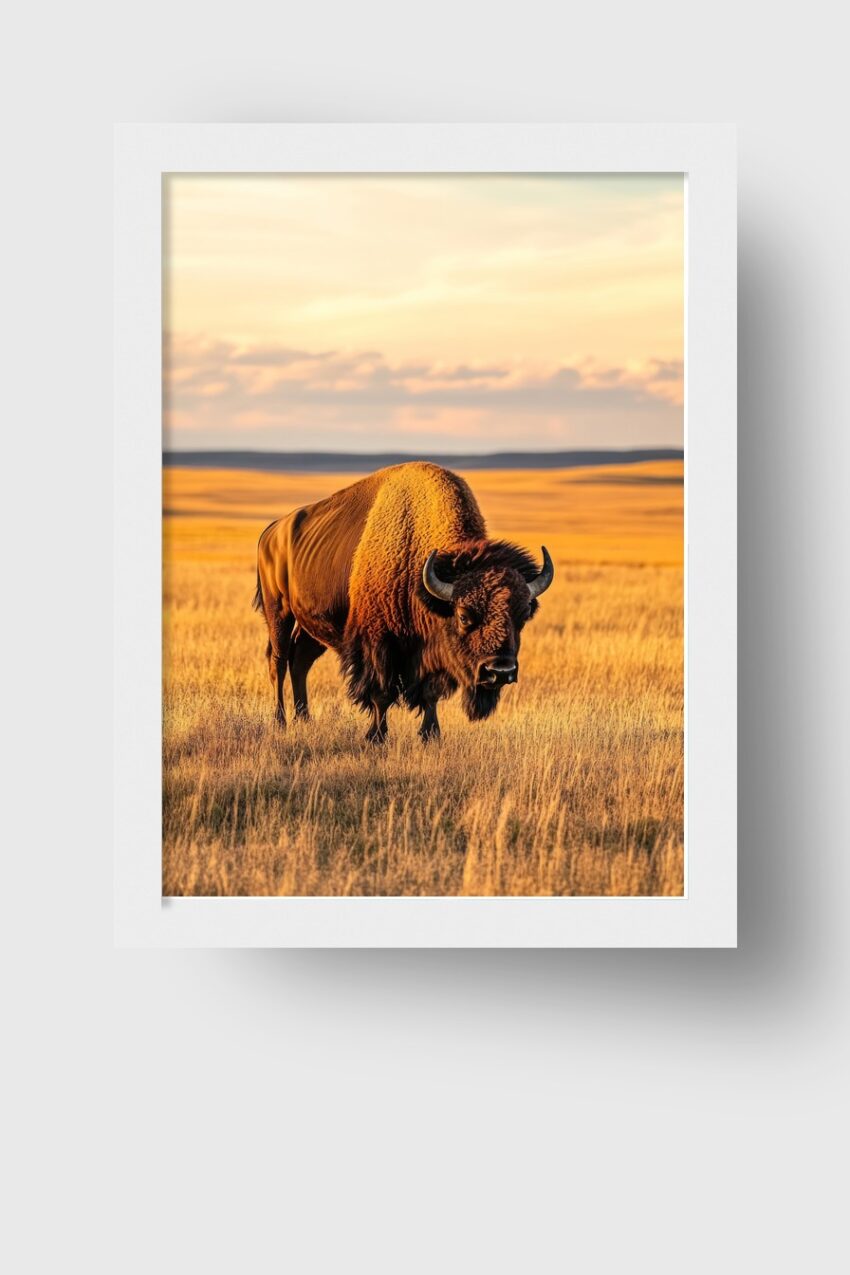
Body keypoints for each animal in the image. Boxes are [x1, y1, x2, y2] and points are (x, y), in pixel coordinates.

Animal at [253, 461, 553, 742]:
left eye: (523, 615)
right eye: (463, 615)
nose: (500, 671)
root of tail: (272, 531)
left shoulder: (429, 654)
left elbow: (431, 693)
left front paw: (431, 734)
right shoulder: (378, 643)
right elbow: (381, 694)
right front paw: (376, 736)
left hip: (313, 626)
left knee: (300, 660)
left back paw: (304, 719)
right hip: (278, 610)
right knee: (279, 660)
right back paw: (280, 722)